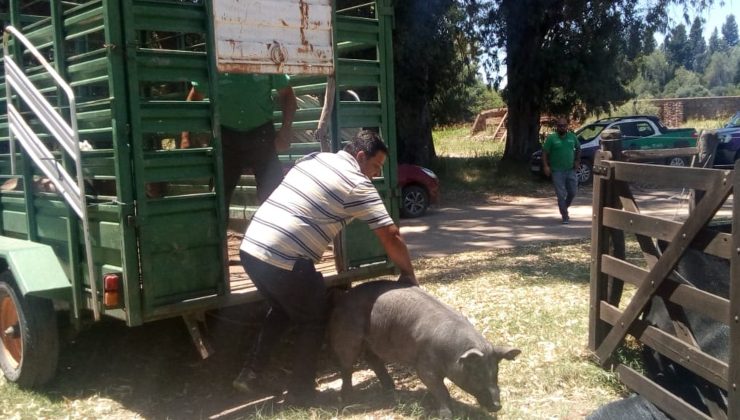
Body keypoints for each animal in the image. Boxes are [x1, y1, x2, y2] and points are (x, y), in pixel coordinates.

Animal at [330, 278, 520, 420]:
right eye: (477, 375)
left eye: (496, 373)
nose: (497, 406)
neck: (453, 354)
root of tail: (341, 300)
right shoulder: (424, 365)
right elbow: (440, 390)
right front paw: (446, 415)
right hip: (348, 336)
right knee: (346, 366)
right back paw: (346, 398)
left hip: (372, 342)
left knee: (373, 359)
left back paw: (391, 389)